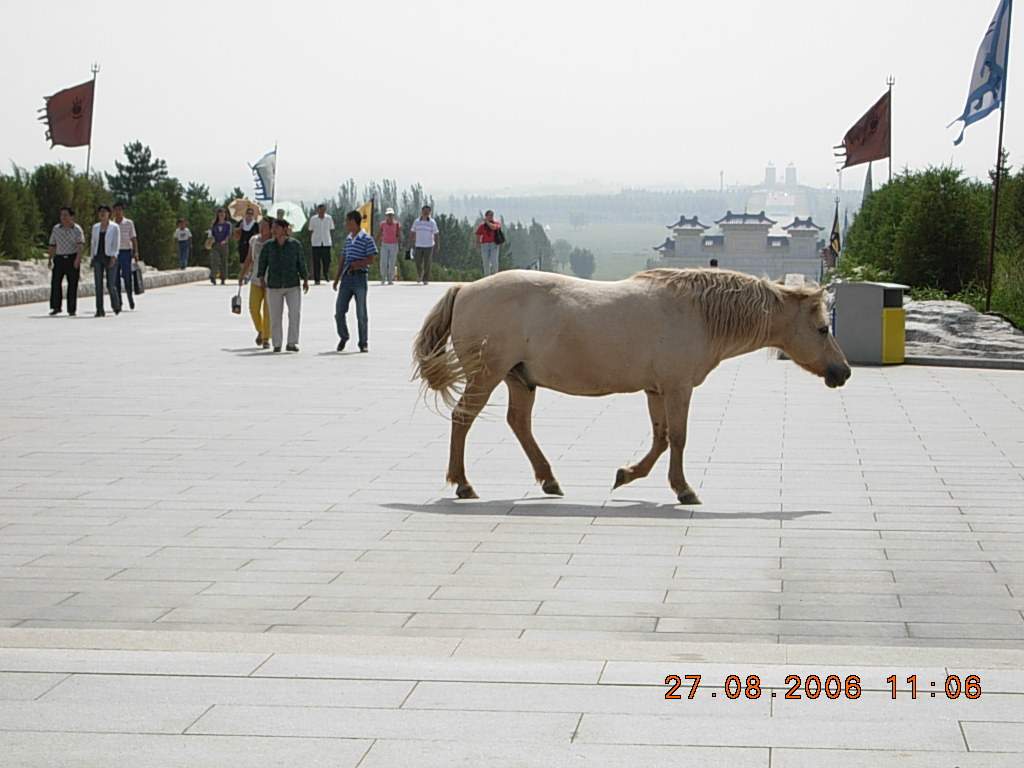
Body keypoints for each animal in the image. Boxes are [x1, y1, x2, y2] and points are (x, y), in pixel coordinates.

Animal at [411, 268, 851, 507]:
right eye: (822, 328)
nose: (843, 372)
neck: (698, 312)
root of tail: (465, 289)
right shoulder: (677, 388)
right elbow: (679, 437)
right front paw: (684, 489)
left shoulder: (656, 390)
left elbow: (661, 438)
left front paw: (627, 474)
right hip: (487, 375)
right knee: (463, 418)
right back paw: (463, 483)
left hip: (519, 379)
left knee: (518, 423)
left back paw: (549, 480)